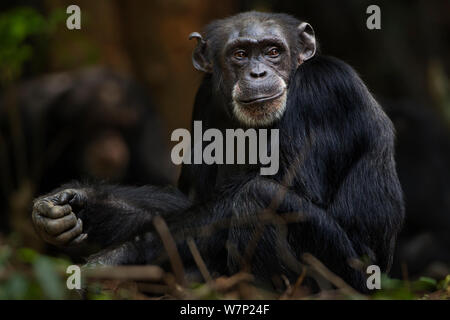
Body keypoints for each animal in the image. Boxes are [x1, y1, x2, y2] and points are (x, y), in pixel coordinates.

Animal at [30, 12, 404, 292]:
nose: (258, 72)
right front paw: (80, 203)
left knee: (259, 198)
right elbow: (191, 200)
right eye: (239, 54)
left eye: (273, 51)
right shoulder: (205, 99)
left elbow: (283, 189)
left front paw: (123, 256)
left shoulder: (322, 90)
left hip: (347, 278)